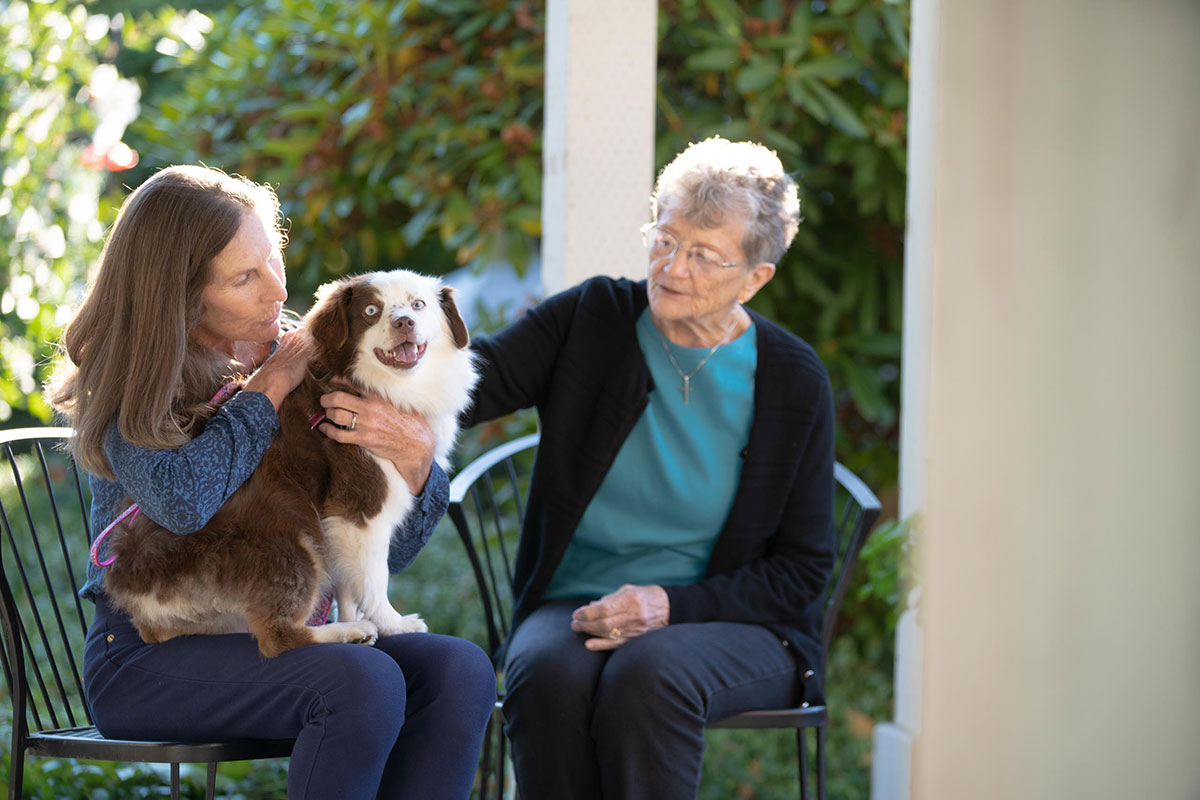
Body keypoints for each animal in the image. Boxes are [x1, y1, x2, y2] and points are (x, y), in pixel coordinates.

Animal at [102, 268, 477, 657]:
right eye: (371, 311)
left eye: (418, 304)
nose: (404, 322)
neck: (384, 387)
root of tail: (130, 578)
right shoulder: (359, 509)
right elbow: (374, 579)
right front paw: (394, 624)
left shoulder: (338, 527)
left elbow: (348, 585)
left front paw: (353, 614)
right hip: (289, 534)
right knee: (277, 637)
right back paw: (348, 632)